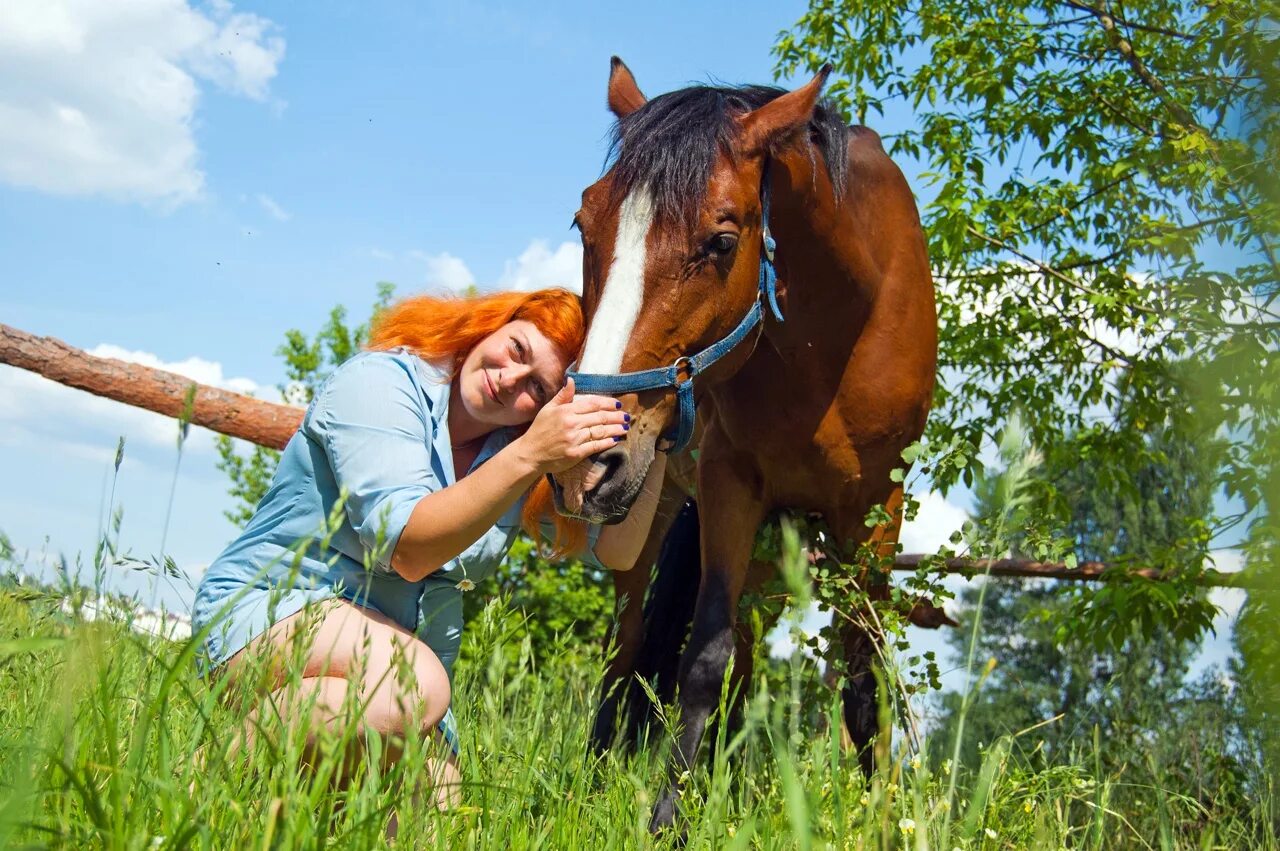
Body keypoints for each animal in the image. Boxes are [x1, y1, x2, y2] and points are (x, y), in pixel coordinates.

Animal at [545, 58, 936, 829]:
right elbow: (704, 658)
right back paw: (598, 779)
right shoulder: (730, 484)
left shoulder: (875, 506)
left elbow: (863, 674)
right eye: (584, 224)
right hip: (654, 515)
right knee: (626, 649)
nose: (583, 461)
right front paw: (669, 820)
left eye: (721, 242)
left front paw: (880, 815)